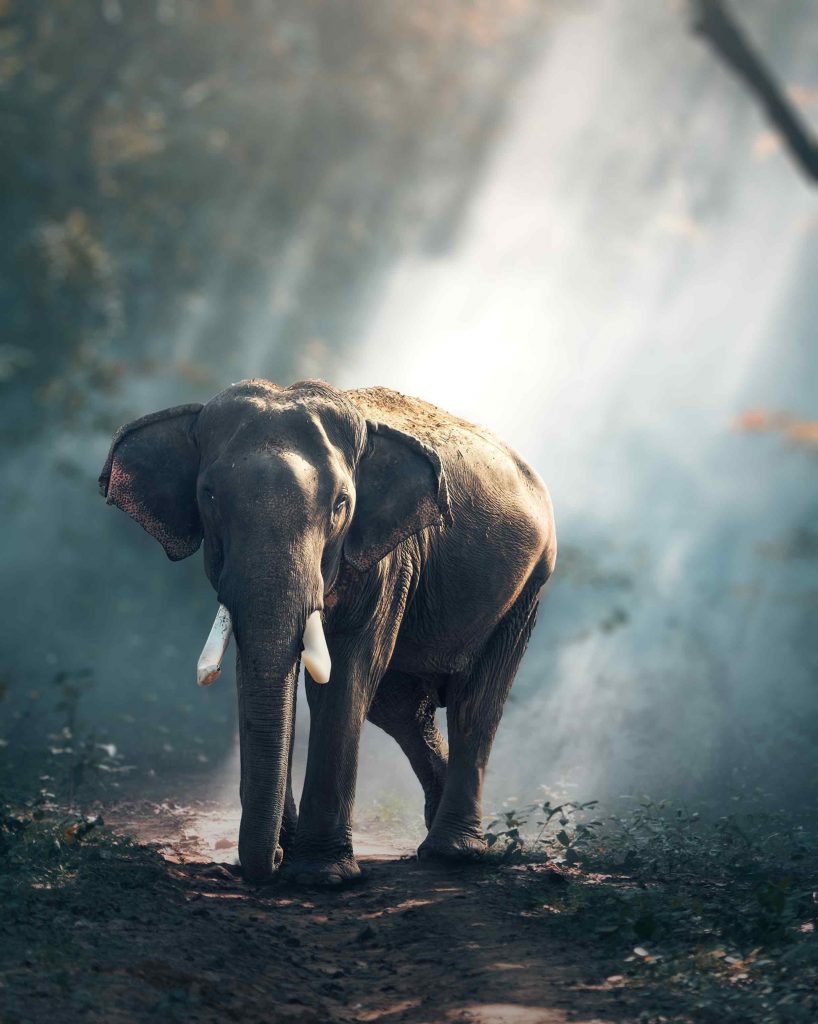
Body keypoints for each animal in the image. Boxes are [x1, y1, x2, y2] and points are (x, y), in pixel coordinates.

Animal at [99, 379, 556, 885]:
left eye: (341, 504)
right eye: (209, 497)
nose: (272, 861)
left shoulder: (388, 559)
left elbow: (345, 675)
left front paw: (321, 875)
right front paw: (290, 853)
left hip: (528, 587)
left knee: (475, 703)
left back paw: (452, 852)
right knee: (401, 708)